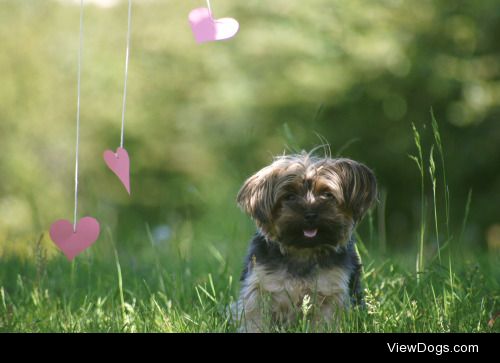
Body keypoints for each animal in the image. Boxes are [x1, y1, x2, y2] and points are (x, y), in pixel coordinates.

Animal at [233, 151, 376, 332]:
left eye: (327, 194)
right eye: (290, 196)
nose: (310, 214)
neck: (303, 251)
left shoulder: (330, 292)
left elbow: (326, 322)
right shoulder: (261, 286)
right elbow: (256, 319)